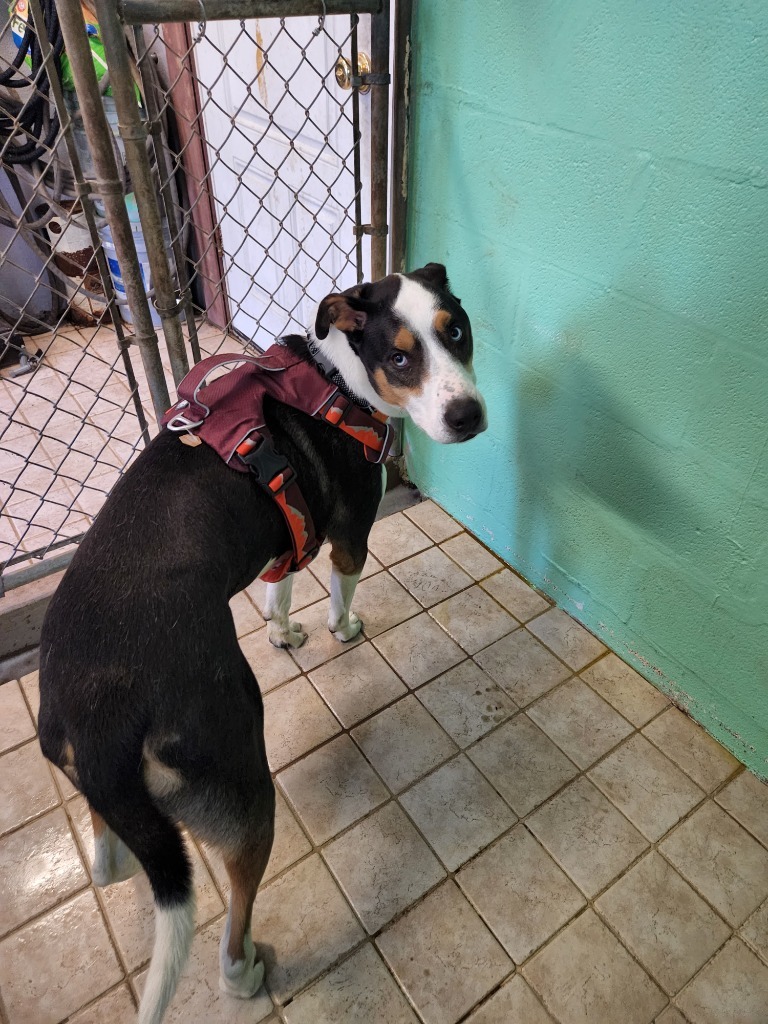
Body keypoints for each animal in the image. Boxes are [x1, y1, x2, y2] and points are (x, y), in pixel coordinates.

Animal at [37, 264, 487, 1024]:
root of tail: (101, 725)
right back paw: (245, 971)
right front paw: (341, 629)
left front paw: (283, 631)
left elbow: (280, 589)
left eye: (457, 331)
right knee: (232, 920)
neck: (338, 380)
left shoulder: (287, 532)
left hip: (100, 786)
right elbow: (341, 588)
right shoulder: (349, 531)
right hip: (244, 786)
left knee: (109, 853)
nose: (469, 417)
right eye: (400, 359)